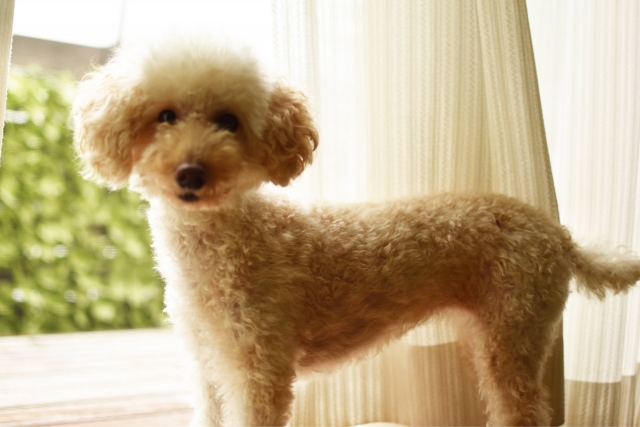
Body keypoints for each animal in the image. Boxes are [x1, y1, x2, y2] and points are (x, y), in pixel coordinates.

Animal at [71, 35, 640, 426]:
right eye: (164, 116)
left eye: (228, 121)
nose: (191, 174)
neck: (226, 243)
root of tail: (560, 236)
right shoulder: (209, 363)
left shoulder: (258, 369)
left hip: (512, 335)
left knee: (522, 410)